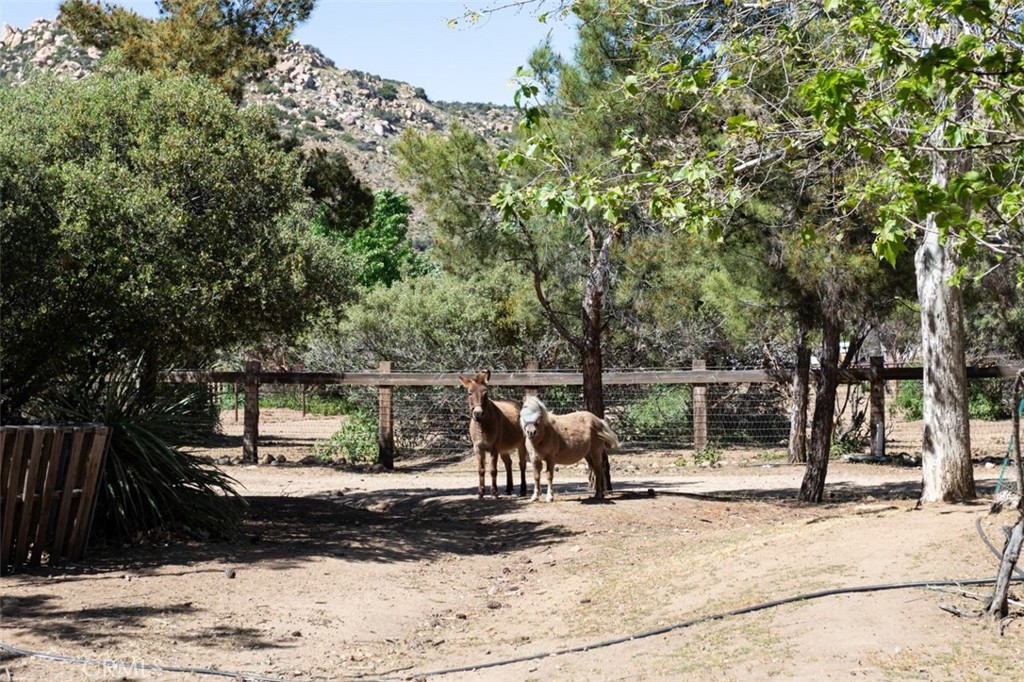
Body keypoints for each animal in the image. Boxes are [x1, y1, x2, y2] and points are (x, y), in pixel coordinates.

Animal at [462, 368, 532, 497]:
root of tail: (517, 404)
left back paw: (523, 490)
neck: (482, 427)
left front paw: (494, 492)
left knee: (522, 464)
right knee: (508, 463)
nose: (478, 414)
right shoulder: (478, 447)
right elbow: (481, 470)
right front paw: (480, 492)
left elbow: (493, 470)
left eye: (486, 394)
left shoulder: (493, 448)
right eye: (469, 393)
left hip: (521, 444)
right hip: (503, 448)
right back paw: (509, 489)